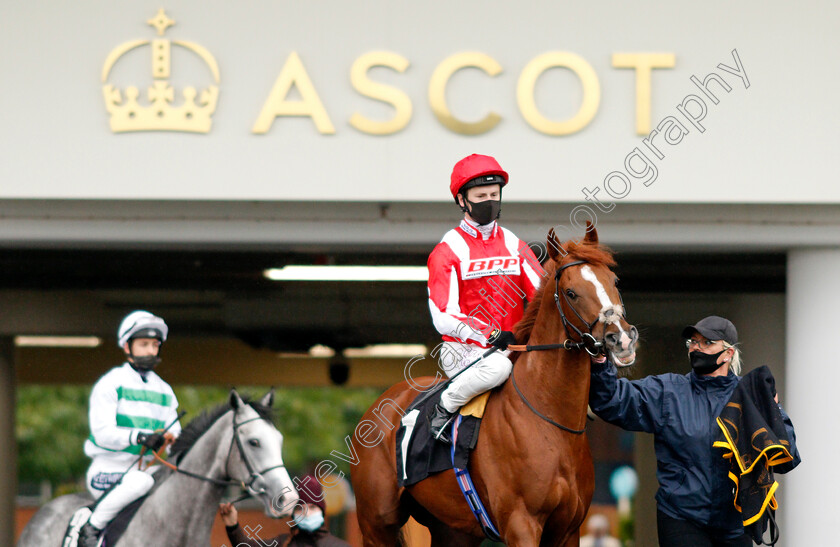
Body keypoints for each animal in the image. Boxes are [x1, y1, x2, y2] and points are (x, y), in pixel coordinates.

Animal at [350, 225, 636, 544]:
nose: (621, 339)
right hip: (377, 524)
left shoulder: (568, 530)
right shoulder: (521, 523)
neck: (551, 421)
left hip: (452, 528)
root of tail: (381, 404)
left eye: (614, 281)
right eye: (571, 293)